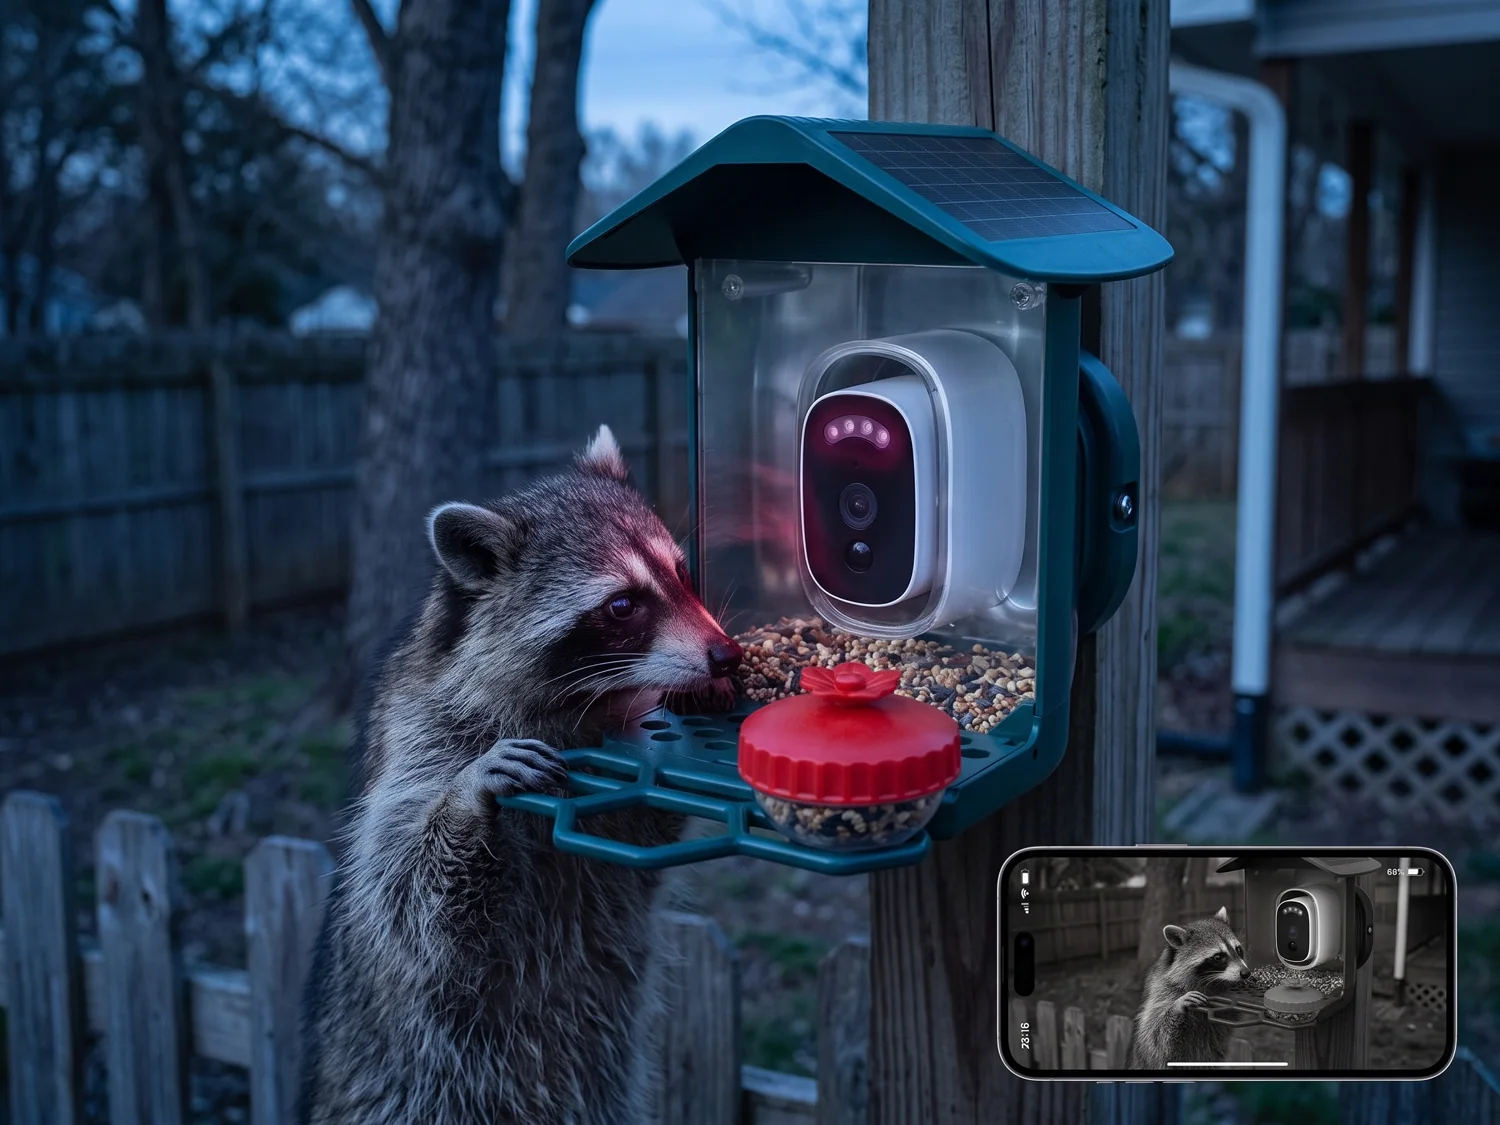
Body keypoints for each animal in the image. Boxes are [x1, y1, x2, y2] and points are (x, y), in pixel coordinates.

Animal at [298, 425, 744, 1125]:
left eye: (681, 571)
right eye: (622, 606)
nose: (725, 654)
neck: (582, 705)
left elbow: (641, 829)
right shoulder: (421, 740)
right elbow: (405, 901)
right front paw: (465, 803)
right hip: (411, 1090)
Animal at [1129, 905, 1251, 1070]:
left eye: (1238, 949)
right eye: (1218, 957)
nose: (1246, 973)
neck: (1211, 984)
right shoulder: (1162, 995)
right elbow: (1154, 1041)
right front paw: (1177, 1008)